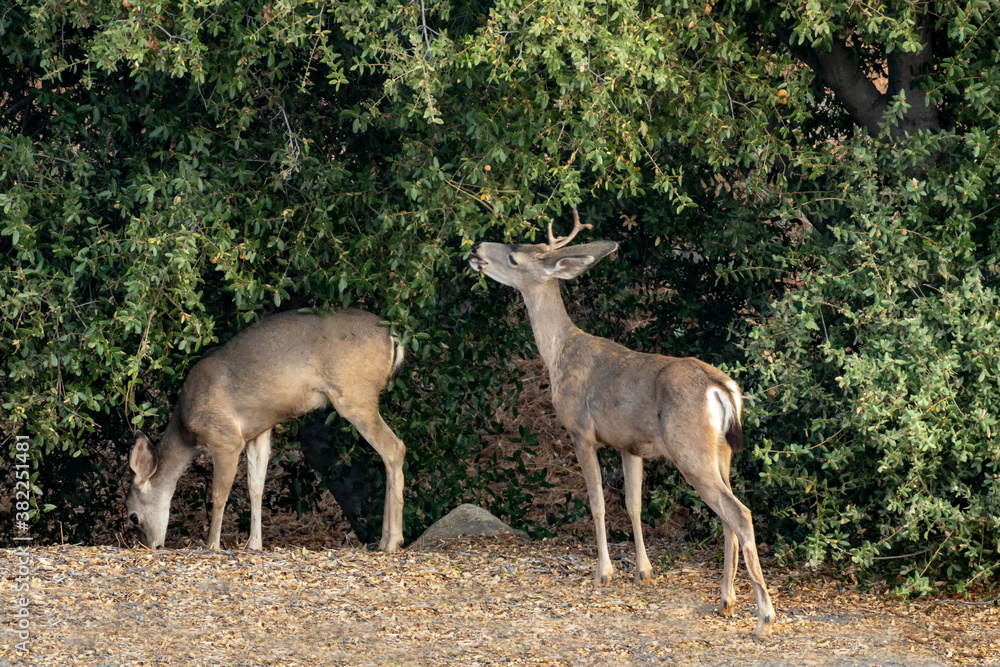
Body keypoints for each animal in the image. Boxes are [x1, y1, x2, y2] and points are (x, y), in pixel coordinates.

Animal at [125, 308, 407, 553]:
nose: (150, 546)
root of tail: (391, 335)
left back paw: (392, 541)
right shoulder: (258, 432)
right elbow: (256, 486)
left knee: (395, 447)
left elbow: (219, 494)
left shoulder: (225, 438)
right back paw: (387, 540)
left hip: (354, 395)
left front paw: (211, 545)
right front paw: (254, 544)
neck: (186, 429)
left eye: (132, 516)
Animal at [469, 208, 776, 638]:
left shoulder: (580, 431)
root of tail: (721, 387)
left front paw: (604, 572)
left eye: (514, 257)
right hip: (722, 452)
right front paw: (644, 571)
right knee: (729, 514)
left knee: (739, 513)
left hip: (690, 448)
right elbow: (633, 504)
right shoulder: (630, 445)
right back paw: (726, 600)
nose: (477, 247)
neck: (559, 354)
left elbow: (598, 503)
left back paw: (764, 616)